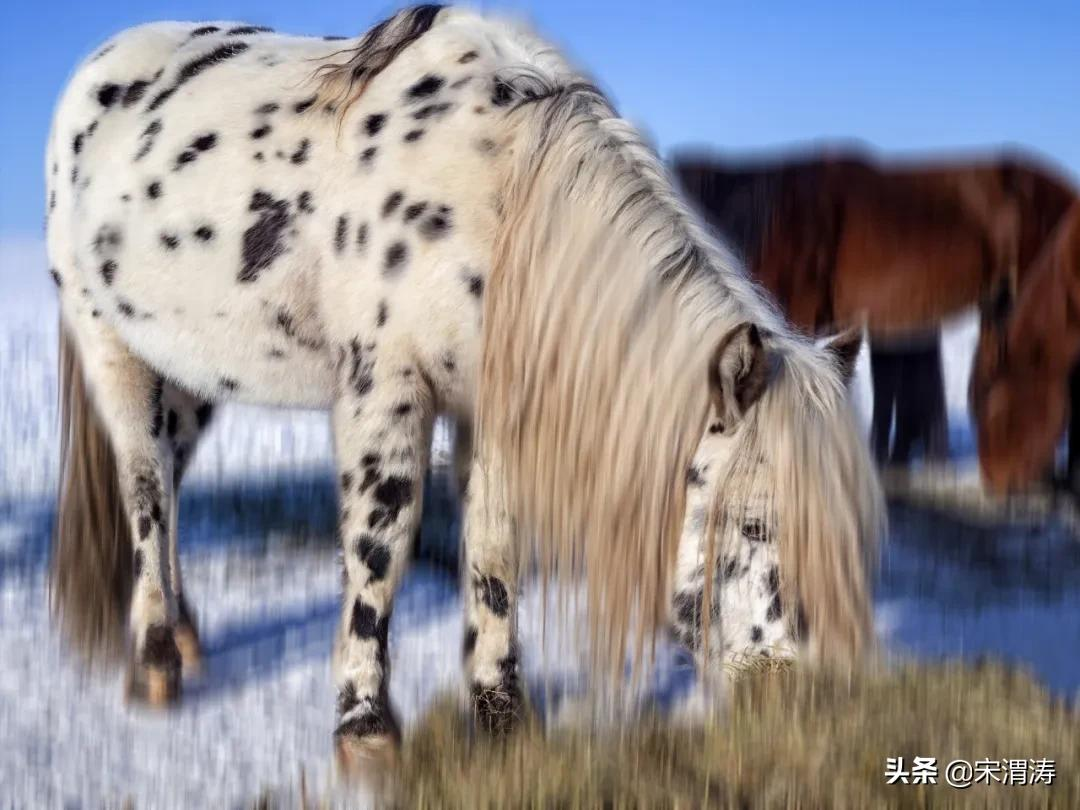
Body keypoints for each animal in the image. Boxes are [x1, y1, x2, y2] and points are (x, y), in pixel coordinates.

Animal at [46, 4, 881, 773]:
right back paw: (156, 656)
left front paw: (502, 712)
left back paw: (187, 633)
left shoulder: (492, 407)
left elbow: (495, 548)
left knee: (170, 483)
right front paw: (365, 723)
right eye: (753, 522)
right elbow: (379, 544)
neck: (494, 191)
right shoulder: (384, 389)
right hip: (112, 348)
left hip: (190, 376)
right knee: (145, 489)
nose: (786, 693)